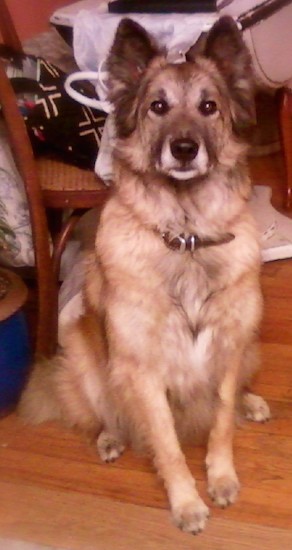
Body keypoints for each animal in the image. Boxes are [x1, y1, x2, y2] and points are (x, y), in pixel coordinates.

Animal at [18, 16, 272, 536]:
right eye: (158, 106)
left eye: (209, 107)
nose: (184, 148)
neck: (187, 237)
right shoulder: (144, 370)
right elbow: (168, 446)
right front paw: (187, 504)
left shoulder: (228, 347)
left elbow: (220, 423)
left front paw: (221, 477)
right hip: (84, 354)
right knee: (102, 410)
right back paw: (111, 437)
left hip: (249, 343)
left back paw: (250, 402)